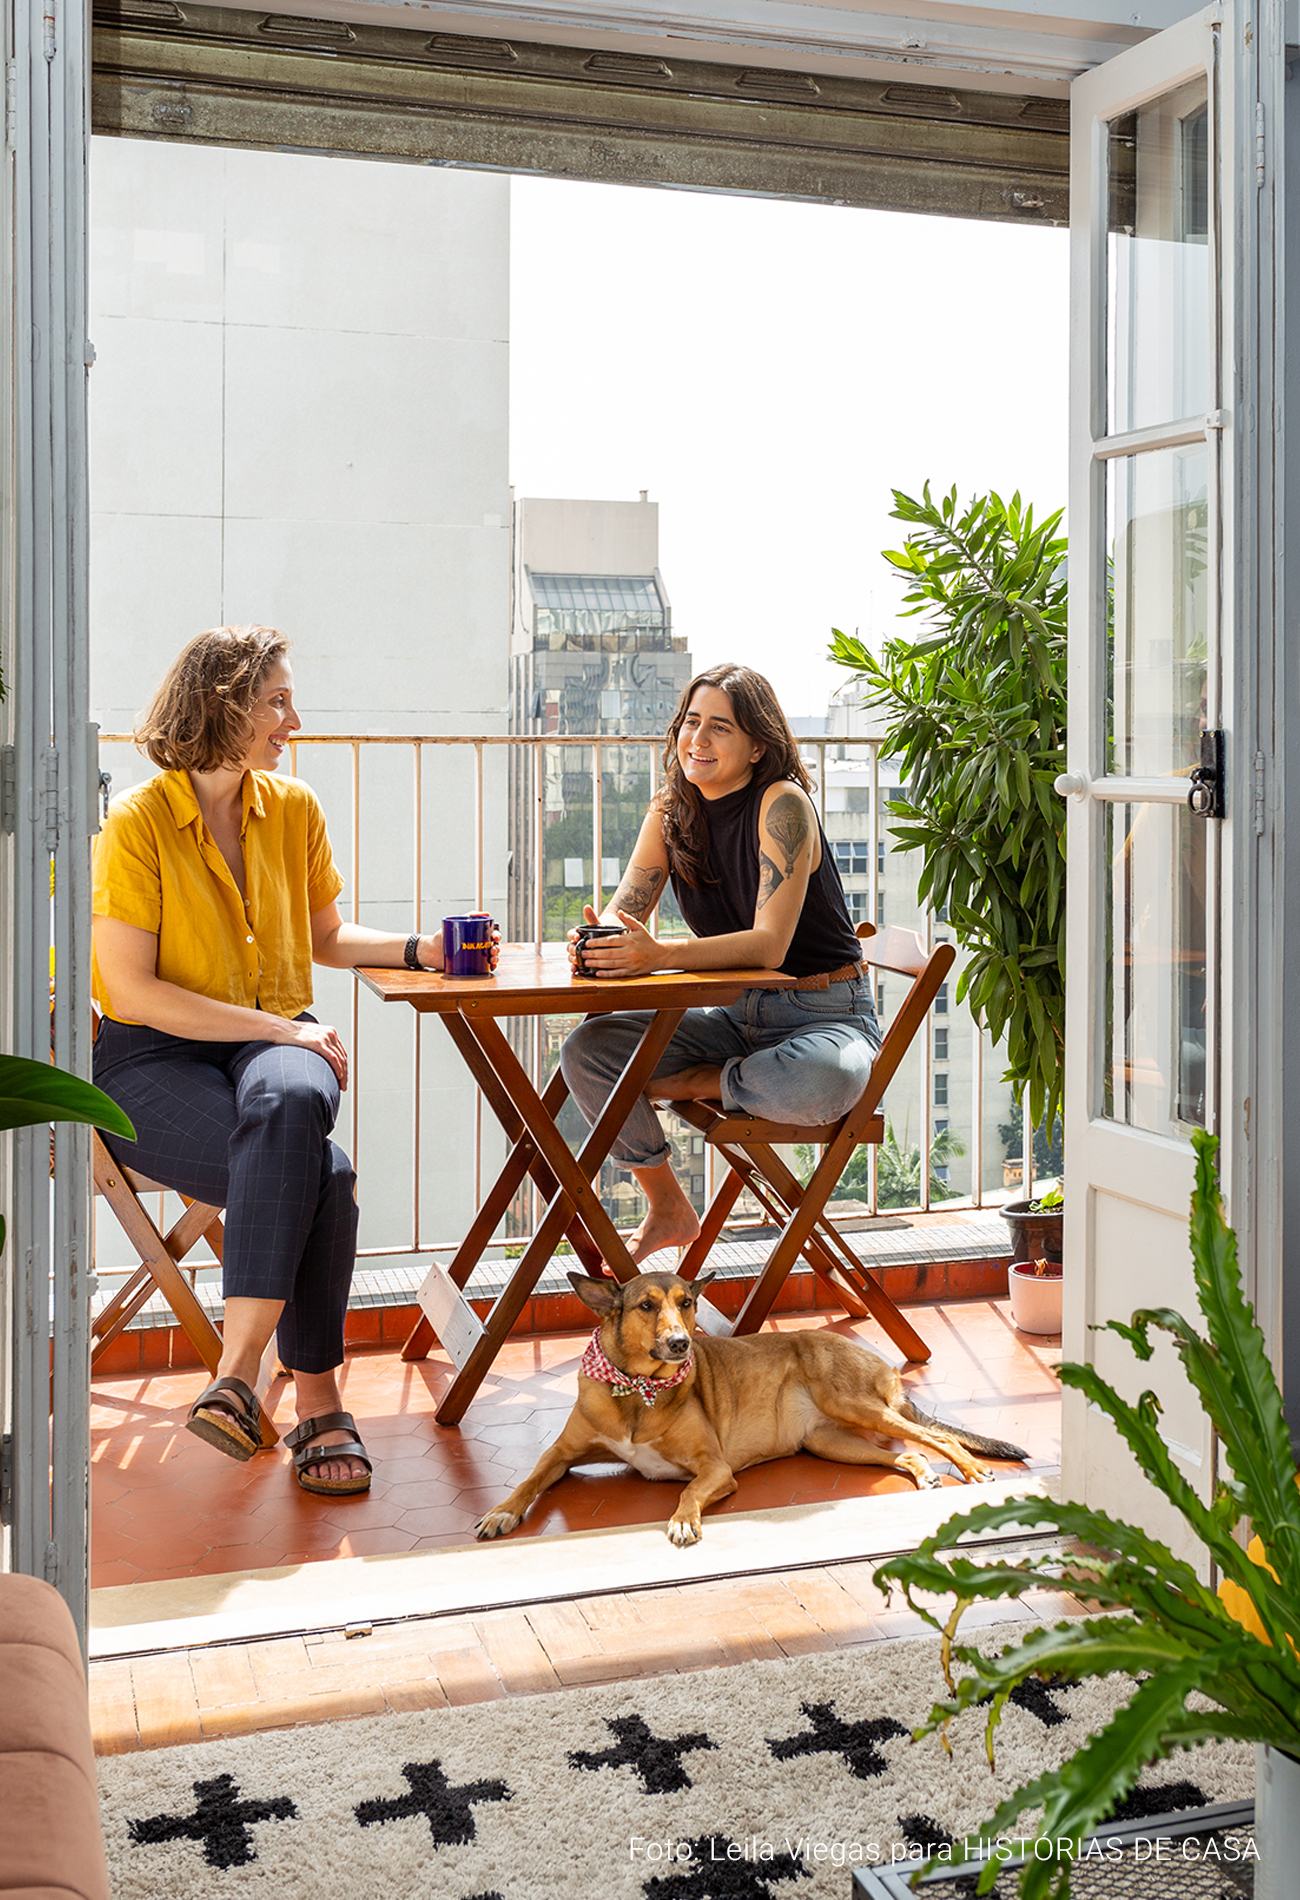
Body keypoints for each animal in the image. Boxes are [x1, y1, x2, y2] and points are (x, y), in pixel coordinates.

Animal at [471, 1276, 1033, 1542]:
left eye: (687, 1302)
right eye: (646, 1306)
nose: (680, 1344)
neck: (636, 1390)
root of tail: (881, 1362)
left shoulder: (714, 1468)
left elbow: (689, 1493)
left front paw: (683, 1521)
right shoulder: (562, 1454)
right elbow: (527, 1481)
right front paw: (501, 1513)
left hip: (854, 1405)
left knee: (939, 1437)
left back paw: (971, 1470)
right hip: (831, 1441)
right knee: (908, 1453)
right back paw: (925, 1474)